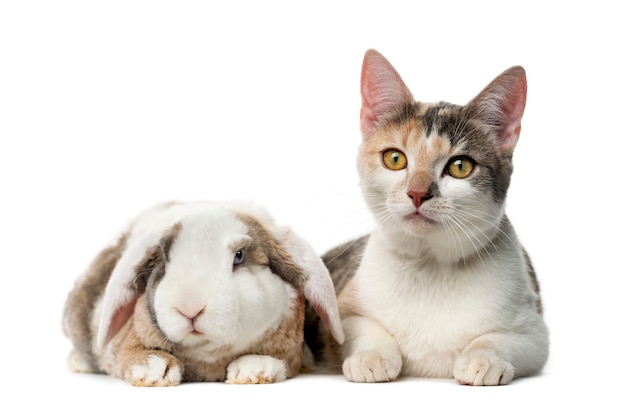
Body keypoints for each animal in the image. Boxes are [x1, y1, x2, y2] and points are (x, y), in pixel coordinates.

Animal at [61, 200, 344, 386]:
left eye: (239, 256)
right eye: (164, 257)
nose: (190, 308)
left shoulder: (290, 354)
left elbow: (276, 361)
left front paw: (253, 370)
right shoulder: (124, 347)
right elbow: (131, 355)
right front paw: (155, 369)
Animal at [304, 49, 548, 386]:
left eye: (460, 166)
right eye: (395, 159)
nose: (418, 193)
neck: (431, 264)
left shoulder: (535, 331)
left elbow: (503, 339)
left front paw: (482, 358)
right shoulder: (342, 312)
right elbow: (360, 326)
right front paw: (372, 356)